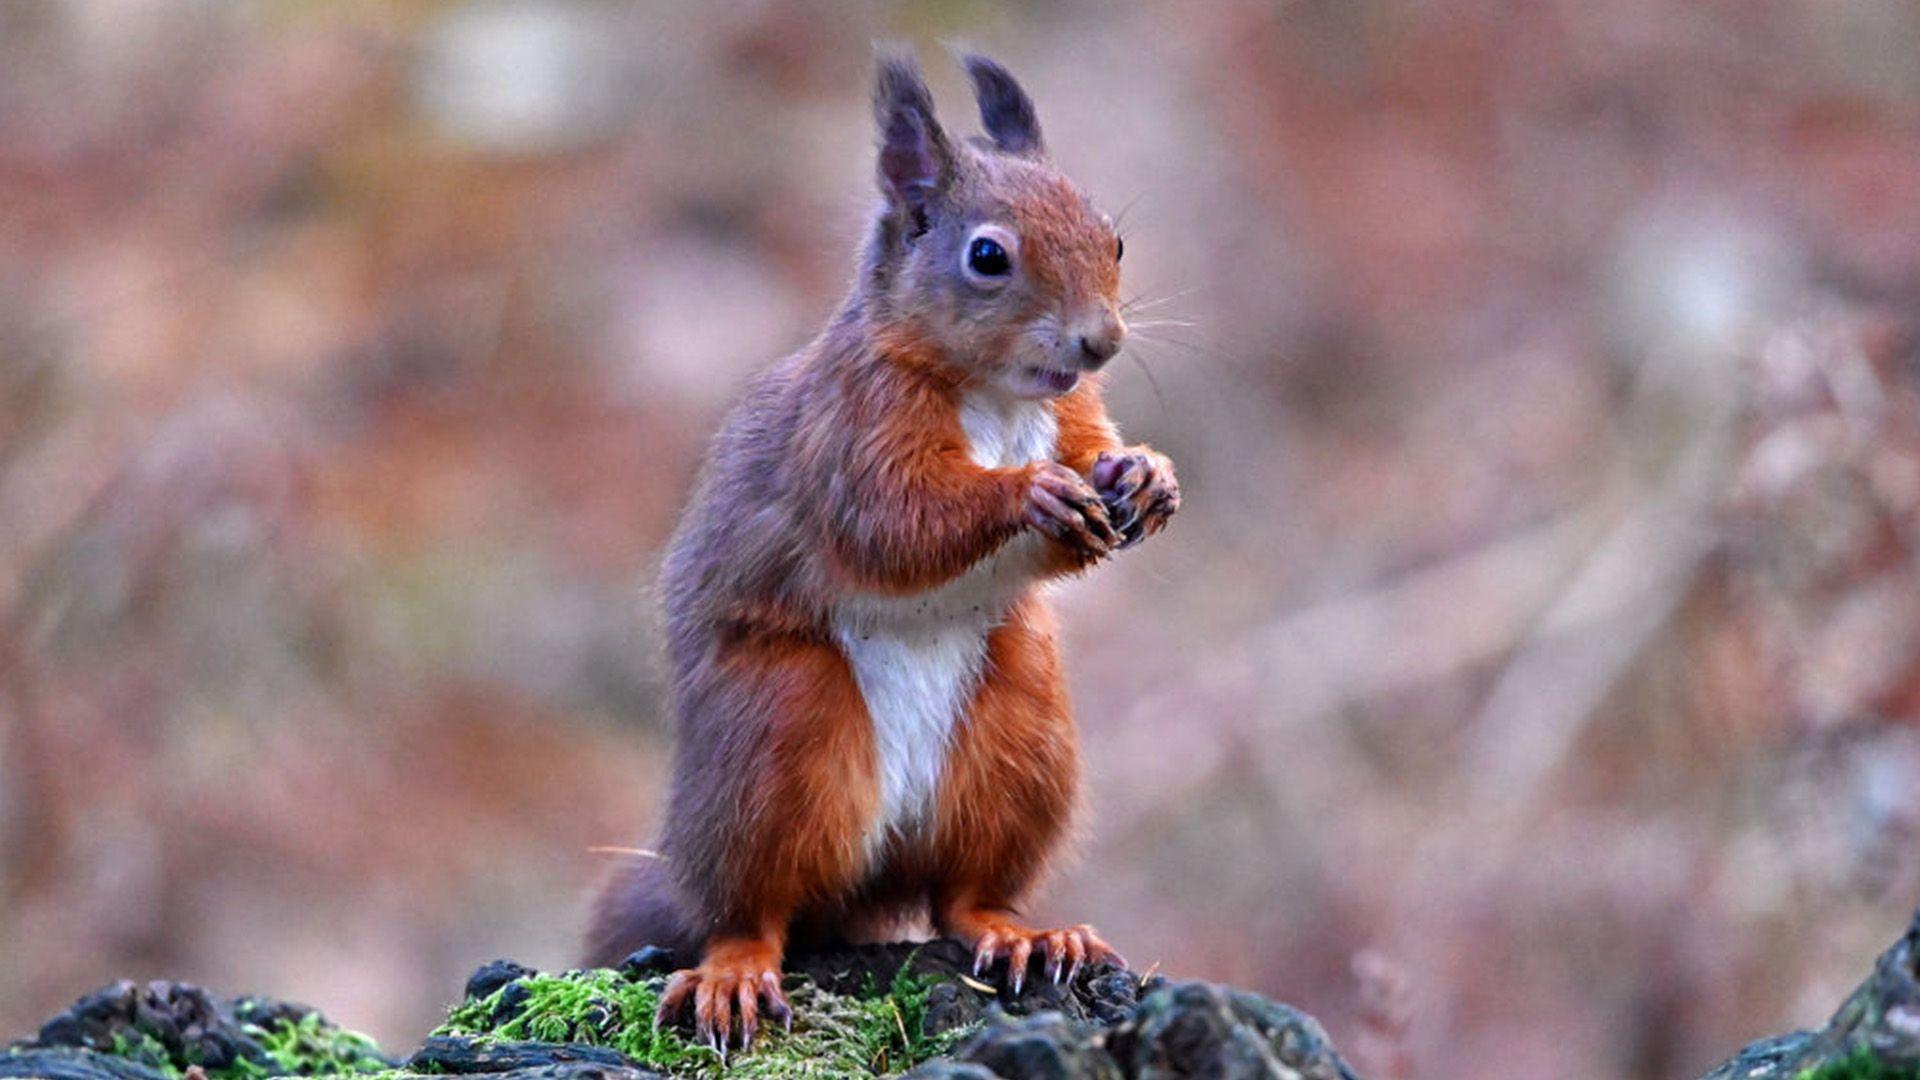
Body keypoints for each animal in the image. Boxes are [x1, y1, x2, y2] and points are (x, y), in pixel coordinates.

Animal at [583, 49, 1180, 1054]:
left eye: (1117, 241)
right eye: (988, 256)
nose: (1101, 341)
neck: (997, 396)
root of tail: (877, 871)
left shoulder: (1072, 415)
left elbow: (1094, 453)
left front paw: (1145, 474)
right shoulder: (853, 432)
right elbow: (896, 524)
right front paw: (1029, 493)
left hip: (1019, 741)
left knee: (960, 898)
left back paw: (1027, 935)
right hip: (777, 735)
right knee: (752, 907)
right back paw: (734, 974)